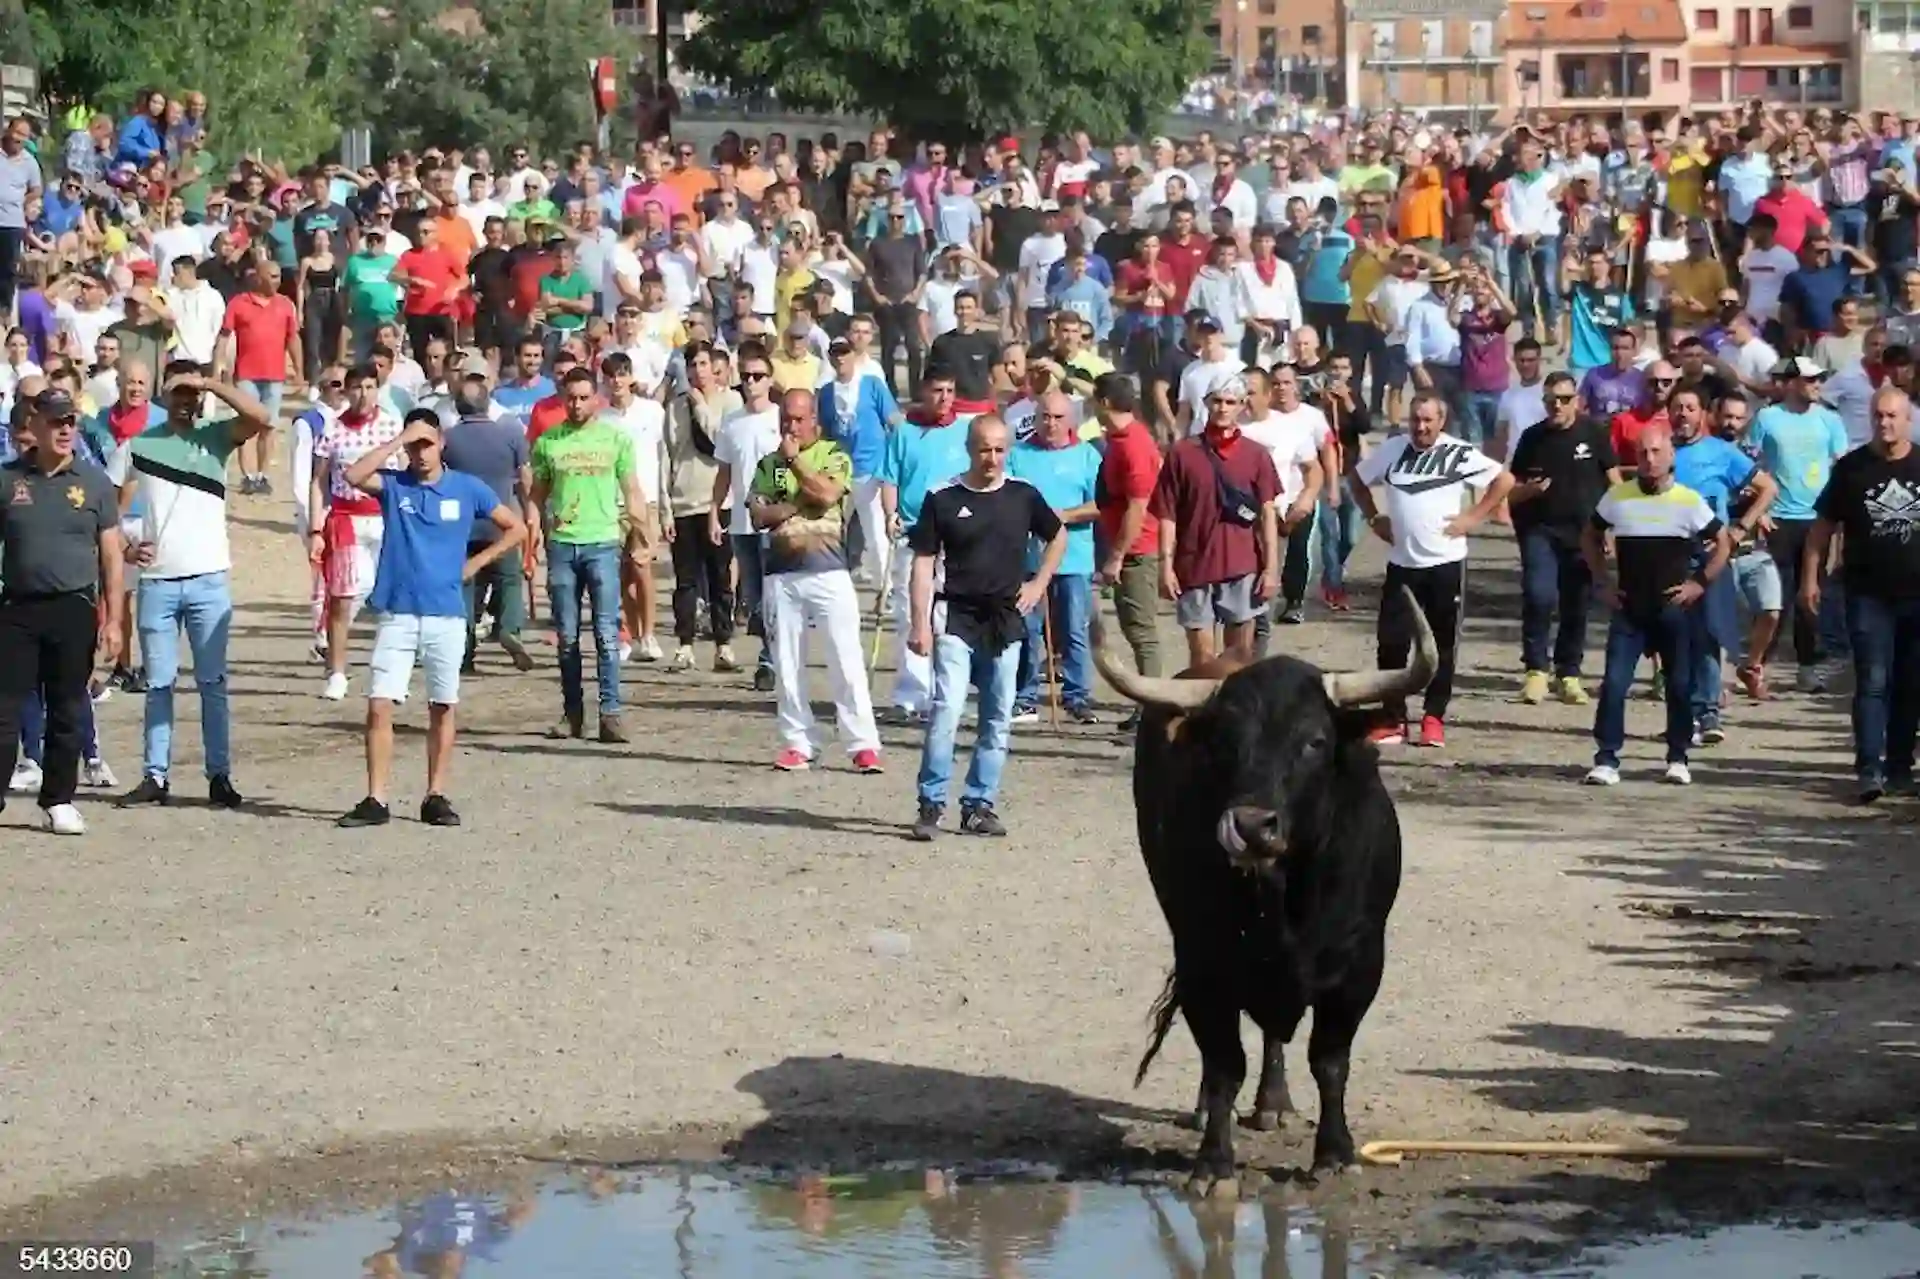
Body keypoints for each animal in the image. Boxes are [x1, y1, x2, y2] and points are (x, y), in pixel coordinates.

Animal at [1098, 587, 1443, 1198]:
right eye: (1223, 743)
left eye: (1315, 741)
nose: (1251, 826)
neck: (1286, 901)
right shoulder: (1204, 965)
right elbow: (1223, 1065)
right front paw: (1213, 1165)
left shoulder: (1360, 965)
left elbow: (1330, 1060)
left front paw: (1335, 1154)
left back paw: (1275, 1105)